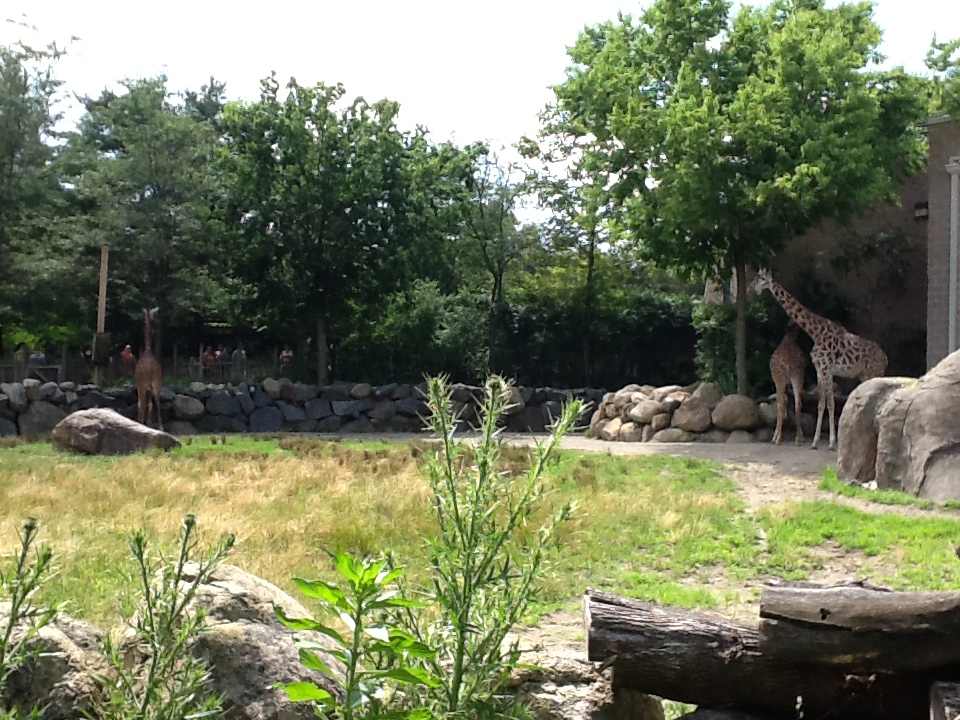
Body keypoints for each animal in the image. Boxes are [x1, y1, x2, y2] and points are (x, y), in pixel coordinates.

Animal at [751, 269, 887, 450]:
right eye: (755, 278)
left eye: (761, 279)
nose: (752, 288)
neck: (815, 332)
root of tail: (885, 357)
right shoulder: (819, 370)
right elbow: (821, 403)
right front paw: (815, 442)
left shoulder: (827, 369)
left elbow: (830, 403)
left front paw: (831, 442)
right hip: (864, 375)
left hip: (873, 373)